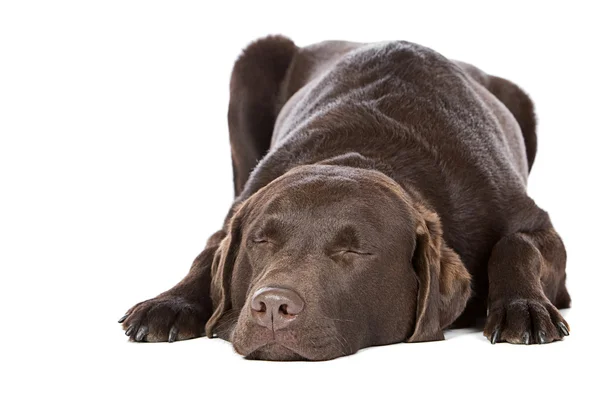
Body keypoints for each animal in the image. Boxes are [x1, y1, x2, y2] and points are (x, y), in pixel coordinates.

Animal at [118, 36, 572, 358]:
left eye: (355, 252)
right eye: (260, 241)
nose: (272, 306)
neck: (363, 152)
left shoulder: (530, 222)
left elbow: (515, 243)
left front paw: (522, 307)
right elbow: (205, 255)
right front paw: (170, 303)